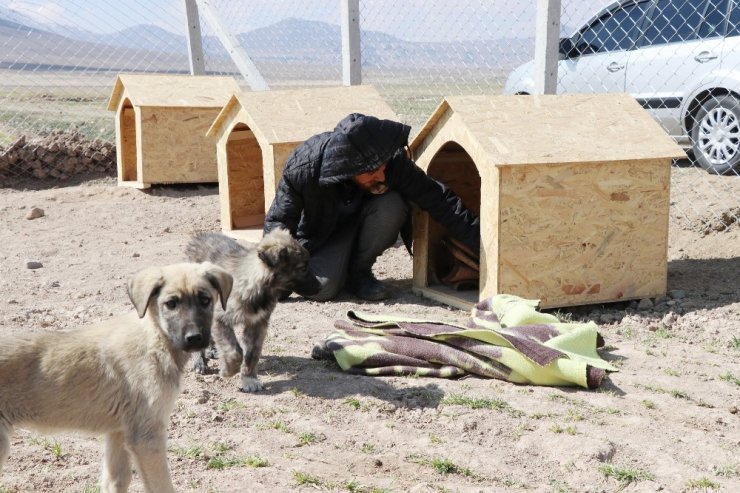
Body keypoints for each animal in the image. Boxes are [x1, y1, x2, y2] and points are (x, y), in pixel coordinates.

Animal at [0, 262, 231, 492]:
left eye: (205, 300)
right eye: (171, 304)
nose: (195, 338)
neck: (155, 338)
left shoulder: (118, 431)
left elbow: (117, 480)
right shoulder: (147, 437)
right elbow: (163, 486)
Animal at [185, 228, 318, 392]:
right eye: (302, 268)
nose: (320, 286)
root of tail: (199, 237)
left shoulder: (258, 323)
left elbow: (251, 354)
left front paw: (249, 380)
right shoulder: (220, 318)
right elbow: (235, 351)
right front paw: (229, 371)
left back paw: (211, 349)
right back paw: (199, 361)